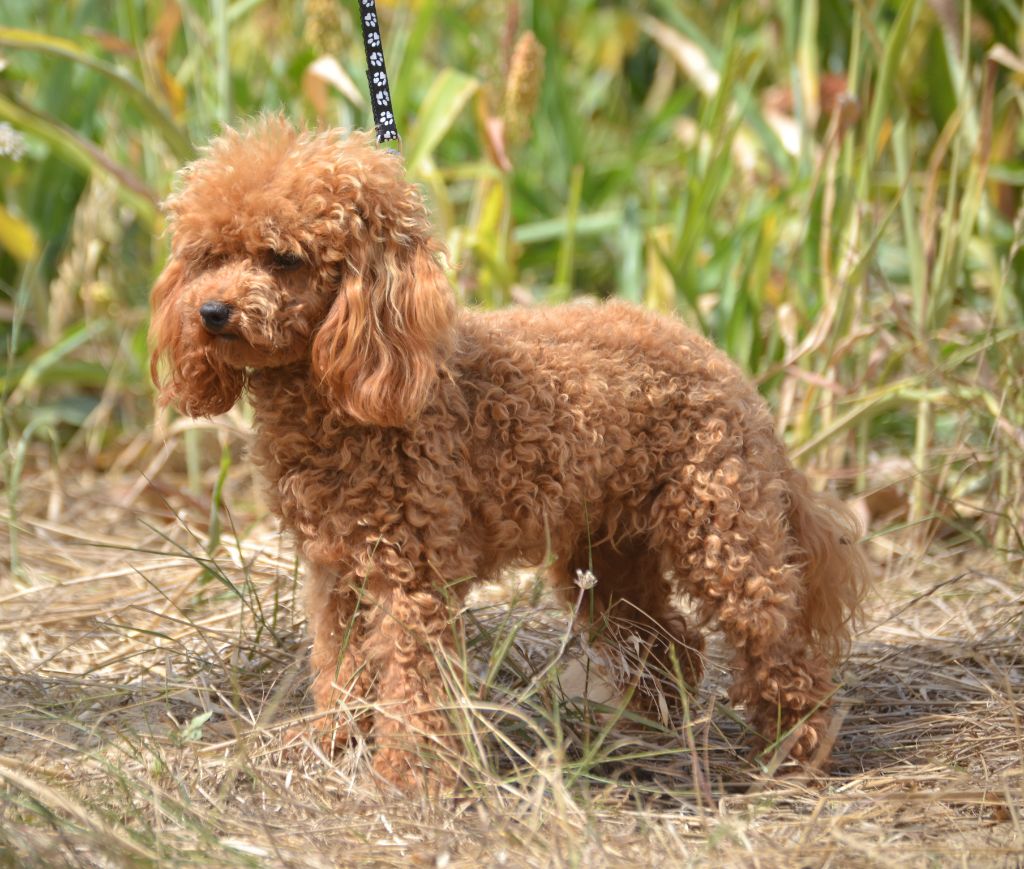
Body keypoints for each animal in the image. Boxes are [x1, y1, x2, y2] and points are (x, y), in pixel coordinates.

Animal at [149, 118, 872, 790]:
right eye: (210, 255)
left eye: (283, 258)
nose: (211, 311)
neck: (344, 397)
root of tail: (726, 367)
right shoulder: (336, 573)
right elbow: (341, 667)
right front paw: (333, 743)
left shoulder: (412, 575)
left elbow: (415, 687)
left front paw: (410, 777)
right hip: (607, 551)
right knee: (672, 640)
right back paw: (640, 733)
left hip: (721, 531)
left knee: (777, 644)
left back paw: (796, 752)